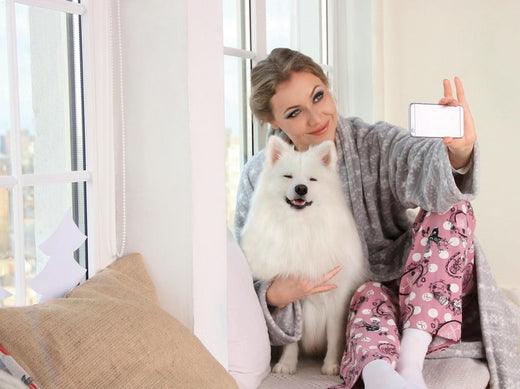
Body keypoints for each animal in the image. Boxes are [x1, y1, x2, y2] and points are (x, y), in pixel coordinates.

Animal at [241, 135, 370, 374]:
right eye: (288, 176)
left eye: (312, 179)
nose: (301, 188)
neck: (300, 225)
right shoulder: (292, 296)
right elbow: (292, 336)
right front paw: (287, 364)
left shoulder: (337, 299)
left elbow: (334, 335)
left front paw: (331, 365)